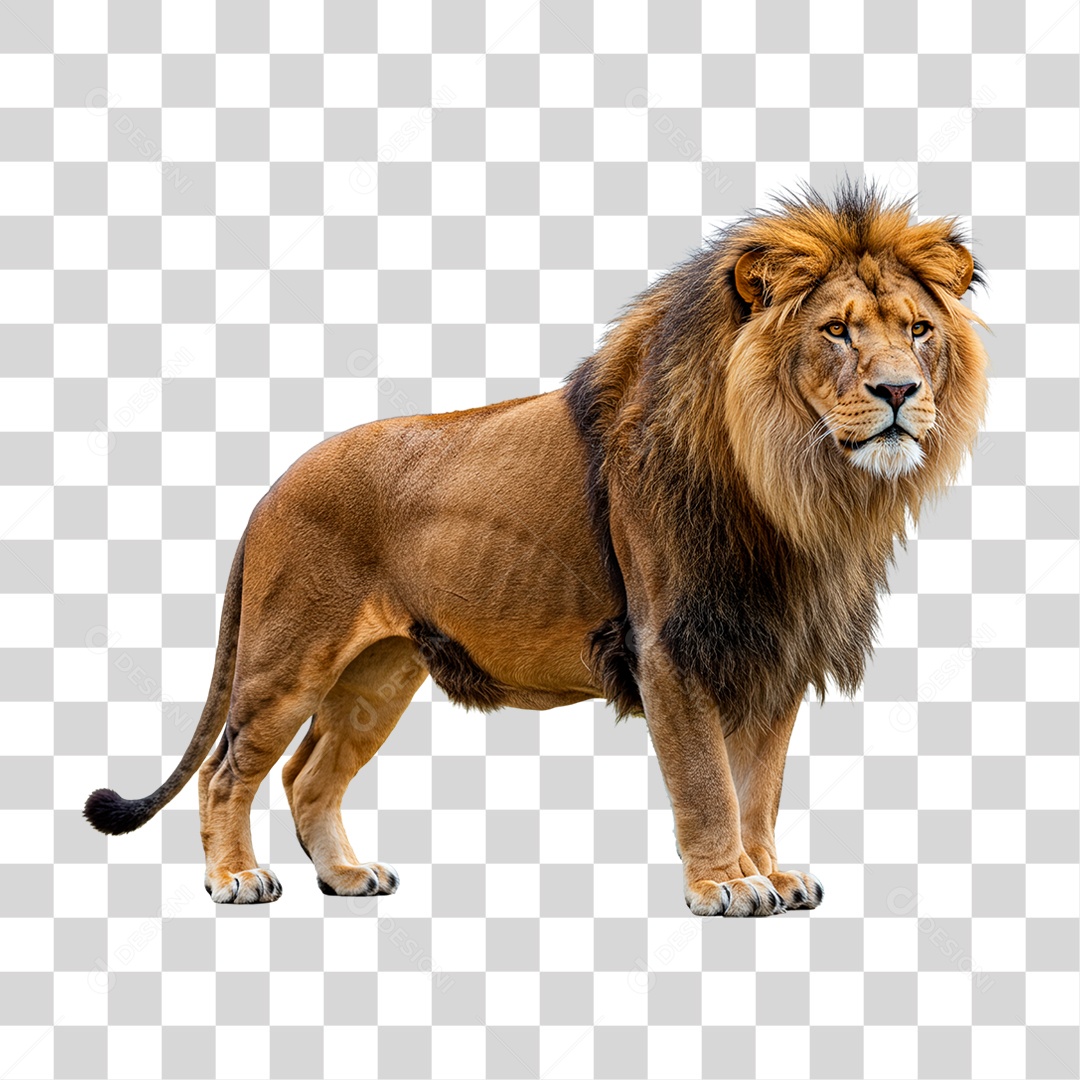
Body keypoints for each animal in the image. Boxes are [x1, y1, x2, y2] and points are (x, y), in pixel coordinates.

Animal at [85, 183, 989, 916]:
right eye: (836, 331)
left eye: (919, 330)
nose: (900, 391)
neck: (796, 487)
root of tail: (271, 487)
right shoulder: (670, 648)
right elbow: (708, 783)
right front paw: (727, 885)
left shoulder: (773, 647)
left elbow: (756, 786)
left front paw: (769, 872)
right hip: (289, 656)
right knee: (228, 770)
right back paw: (236, 878)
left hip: (378, 674)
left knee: (308, 775)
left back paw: (345, 876)